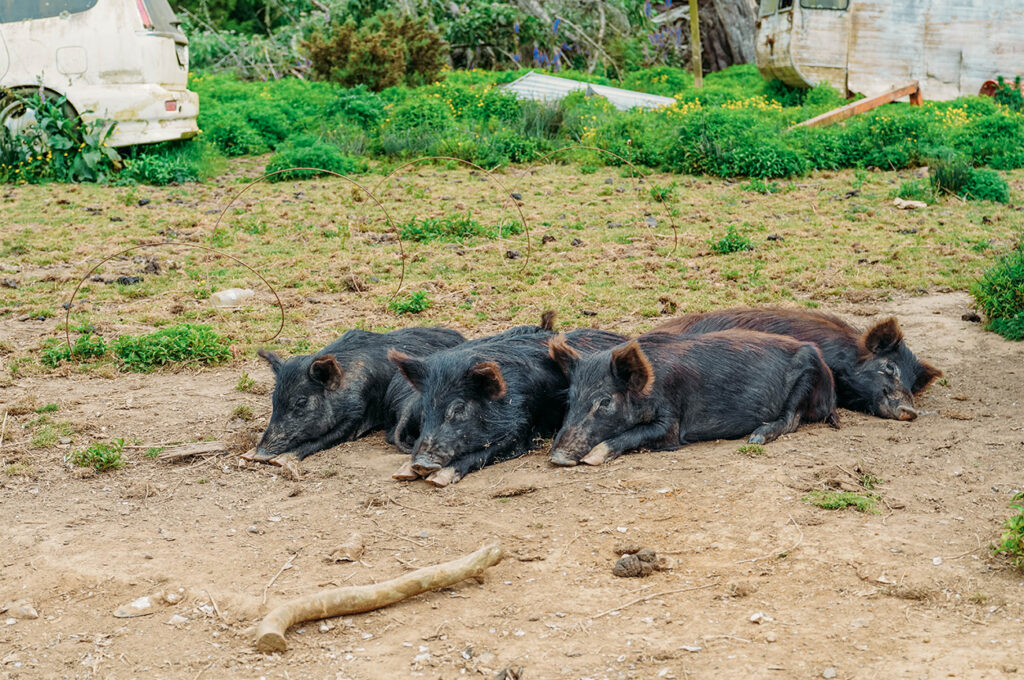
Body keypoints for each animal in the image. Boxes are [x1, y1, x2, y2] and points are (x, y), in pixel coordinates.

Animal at [256, 325, 464, 462]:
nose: (259, 454)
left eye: (301, 402)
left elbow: (329, 437)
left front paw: (282, 460)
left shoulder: (358, 412)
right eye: (274, 401)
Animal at [548, 329, 835, 466]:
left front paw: (591, 458)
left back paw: (756, 438)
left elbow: (642, 434)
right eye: (569, 400)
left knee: (791, 420)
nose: (556, 458)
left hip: (807, 377)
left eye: (605, 401)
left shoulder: (671, 420)